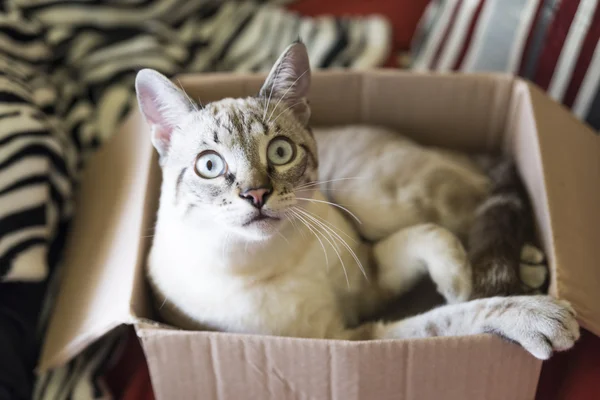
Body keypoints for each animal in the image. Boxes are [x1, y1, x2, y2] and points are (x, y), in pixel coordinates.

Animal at [135, 39, 576, 360]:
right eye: (209, 165)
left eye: (280, 152)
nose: (255, 194)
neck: (269, 259)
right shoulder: (349, 339)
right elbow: (448, 317)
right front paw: (527, 311)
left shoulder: (369, 280)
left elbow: (435, 242)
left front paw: (462, 282)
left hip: (367, 199)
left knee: (478, 200)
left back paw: (527, 264)